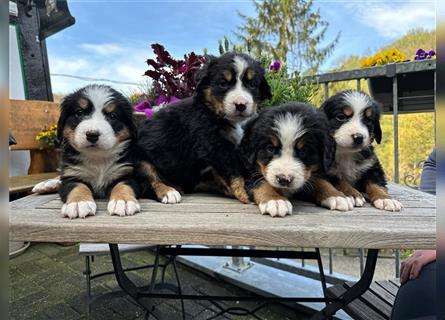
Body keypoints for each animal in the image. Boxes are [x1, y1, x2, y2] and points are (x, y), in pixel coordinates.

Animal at [57, 84, 140, 219]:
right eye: (79, 112)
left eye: (112, 116)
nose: (92, 134)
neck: (97, 158)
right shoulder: (70, 176)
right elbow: (77, 186)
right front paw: (79, 203)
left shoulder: (127, 174)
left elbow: (122, 185)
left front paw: (123, 201)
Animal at [137, 52, 270, 202]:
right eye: (223, 84)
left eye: (252, 85)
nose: (241, 105)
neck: (211, 111)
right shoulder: (214, 145)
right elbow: (233, 171)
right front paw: (244, 192)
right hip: (140, 158)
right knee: (149, 179)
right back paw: (168, 191)